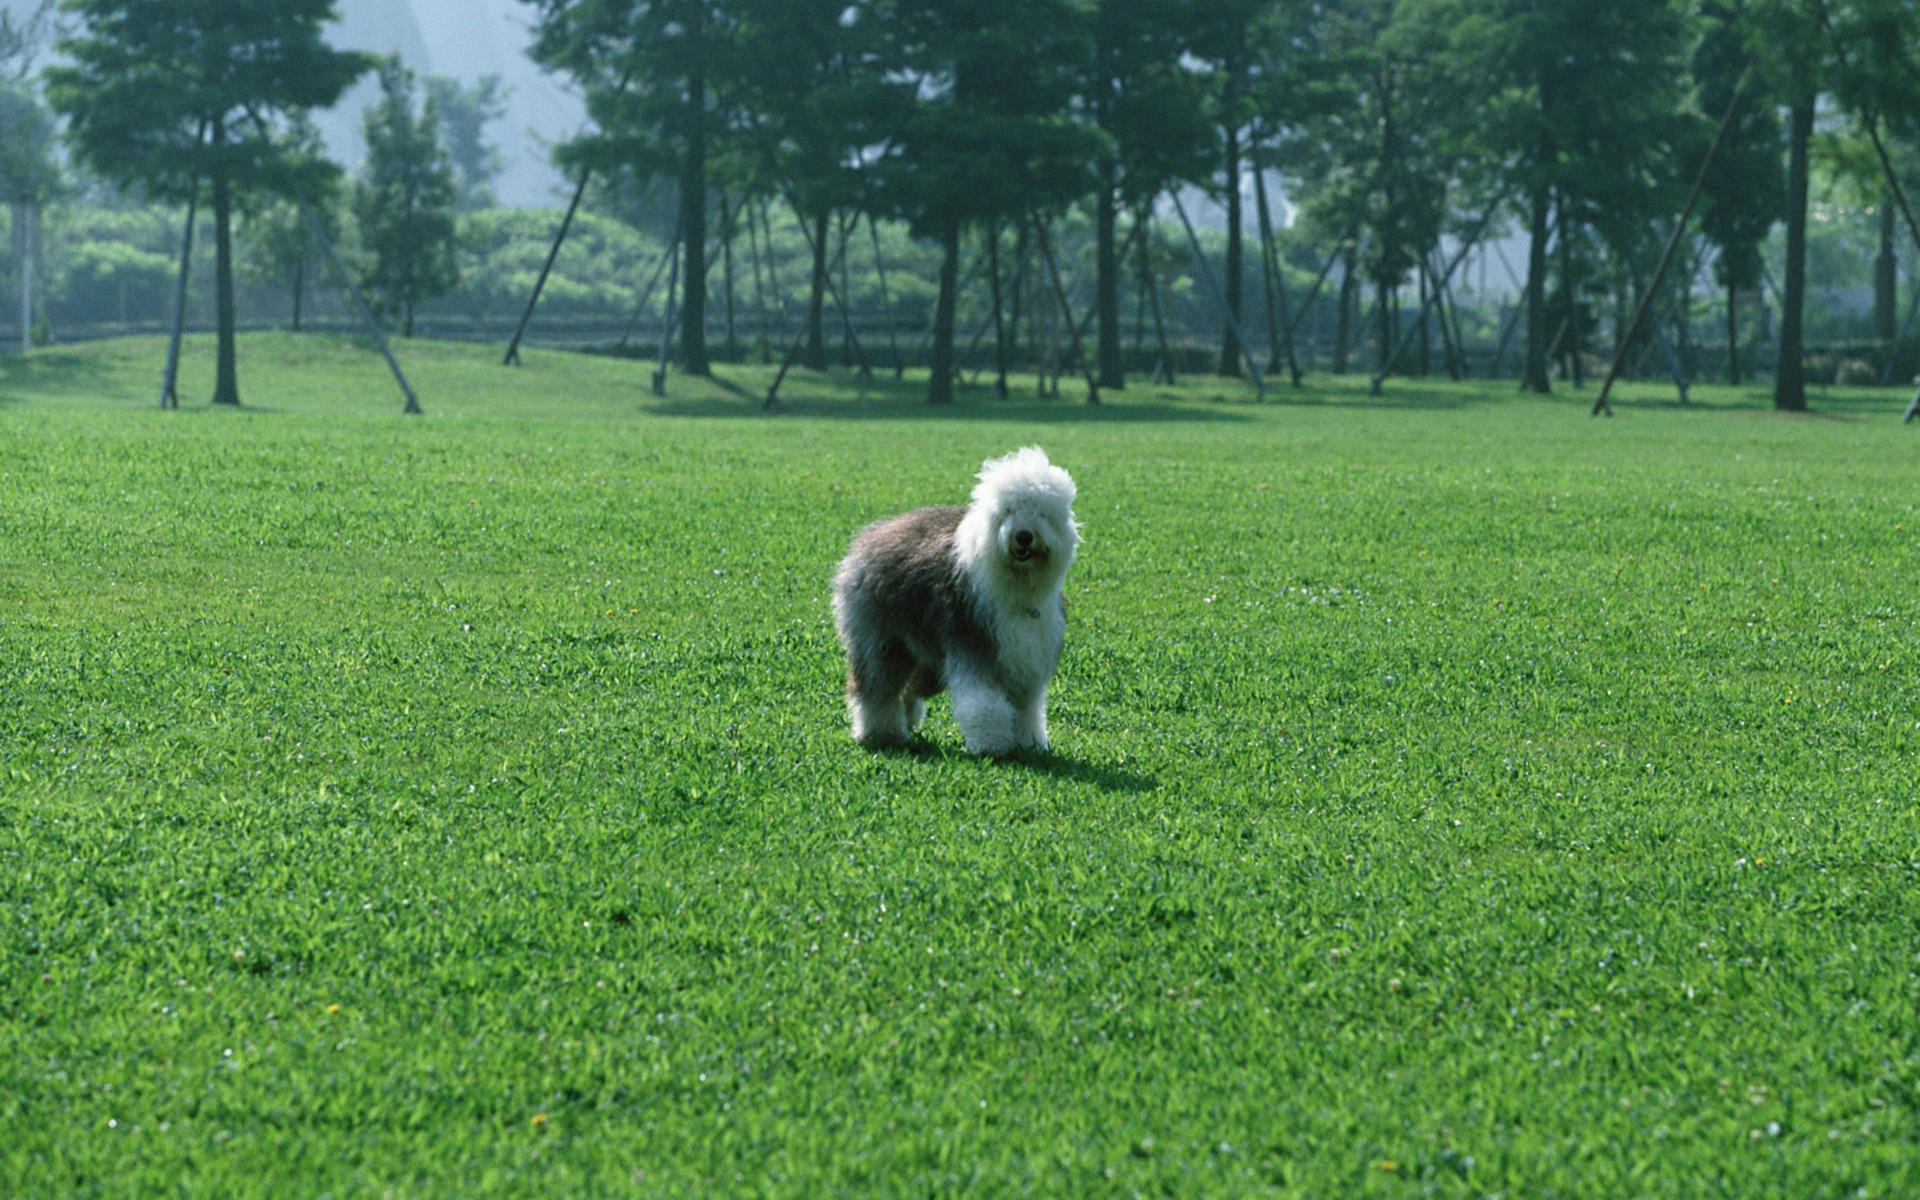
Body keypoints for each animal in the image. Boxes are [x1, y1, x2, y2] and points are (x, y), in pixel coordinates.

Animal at [833, 445, 1082, 752]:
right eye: (1008, 511)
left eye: (1042, 512)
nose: (1023, 536)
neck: (1015, 586)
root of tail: (869, 535)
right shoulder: (974, 646)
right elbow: (984, 703)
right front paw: (990, 745)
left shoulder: (1026, 661)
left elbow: (1028, 708)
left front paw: (1030, 743)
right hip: (881, 641)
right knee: (877, 688)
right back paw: (881, 733)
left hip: (925, 657)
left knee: (909, 688)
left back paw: (906, 720)